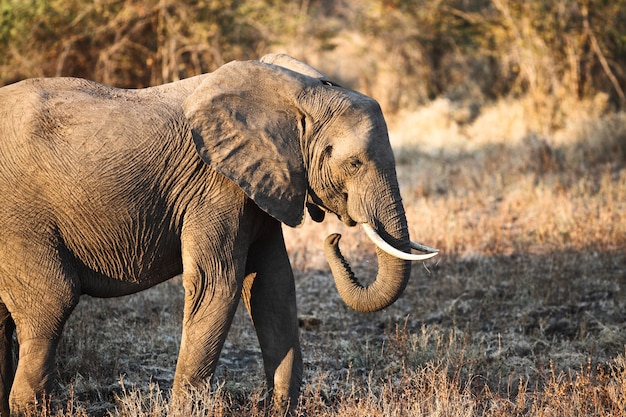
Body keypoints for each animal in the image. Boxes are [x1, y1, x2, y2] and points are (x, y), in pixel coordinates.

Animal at [0, 53, 436, 414]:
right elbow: (217, 284)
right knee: (52, 301)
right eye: (355, 163)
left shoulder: (260, 183)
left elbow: (273, 286)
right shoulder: (216, 186)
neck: (302, 93)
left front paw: (279, 410)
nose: (334, 237)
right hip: (19, 220)